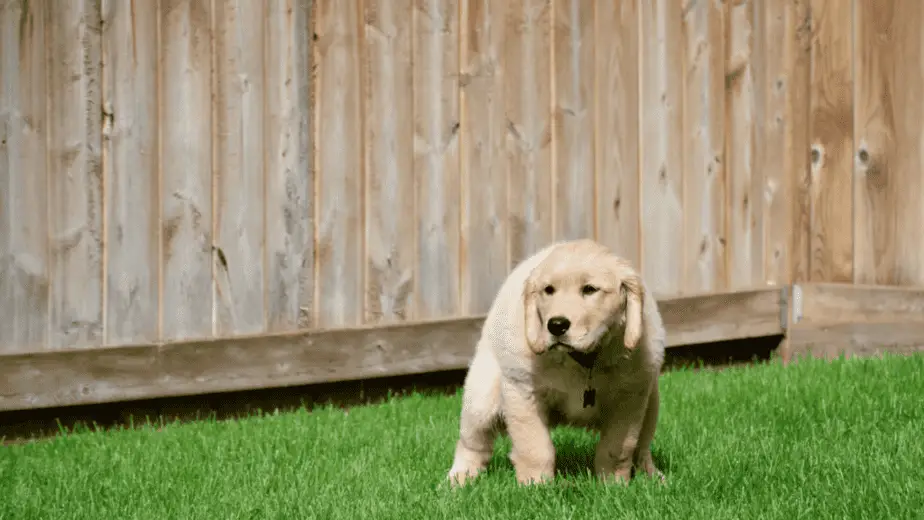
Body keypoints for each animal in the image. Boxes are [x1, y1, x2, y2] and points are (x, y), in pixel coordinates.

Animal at [448, 240, 664, 488]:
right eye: (548, 290)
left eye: (590, 289)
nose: (556, 325)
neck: (583, 360)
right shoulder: (523, 391)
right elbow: (535, 448)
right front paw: (536, 485)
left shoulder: (630, 398)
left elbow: (617, 448)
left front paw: (613, 484)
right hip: (482, 396)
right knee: (472, 442)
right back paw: (460, 478)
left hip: (652, 403)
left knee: (642, 447)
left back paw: (652, 475)